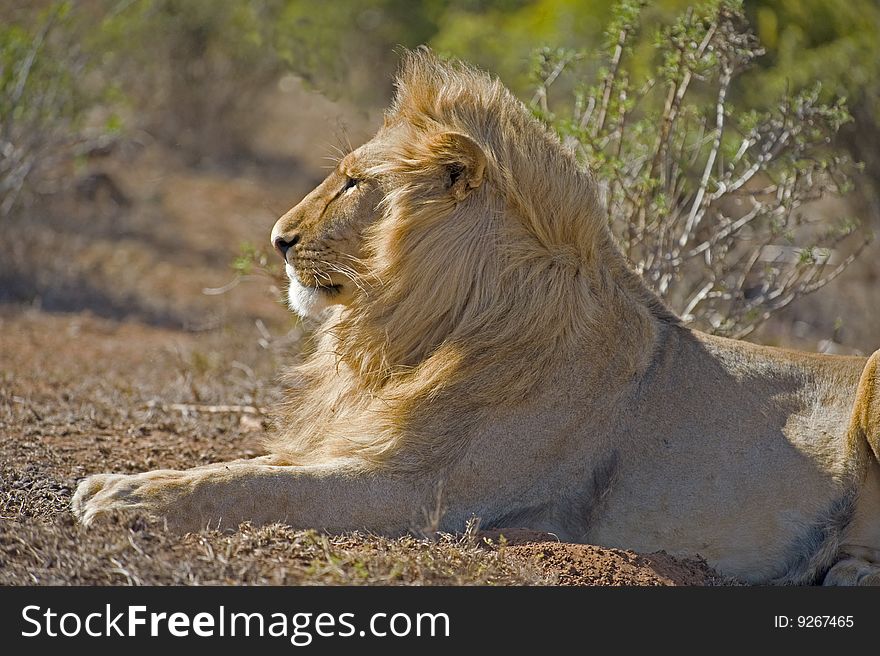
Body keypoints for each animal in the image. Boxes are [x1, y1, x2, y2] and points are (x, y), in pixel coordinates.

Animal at [74, 50, 880, 584]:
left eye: (353, 183)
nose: (279, 239)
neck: (424, 330)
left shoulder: (421, 492)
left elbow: (254, 486)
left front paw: (122, 496)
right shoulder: (355, 442)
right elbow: (245, 467)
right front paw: (126, 478)